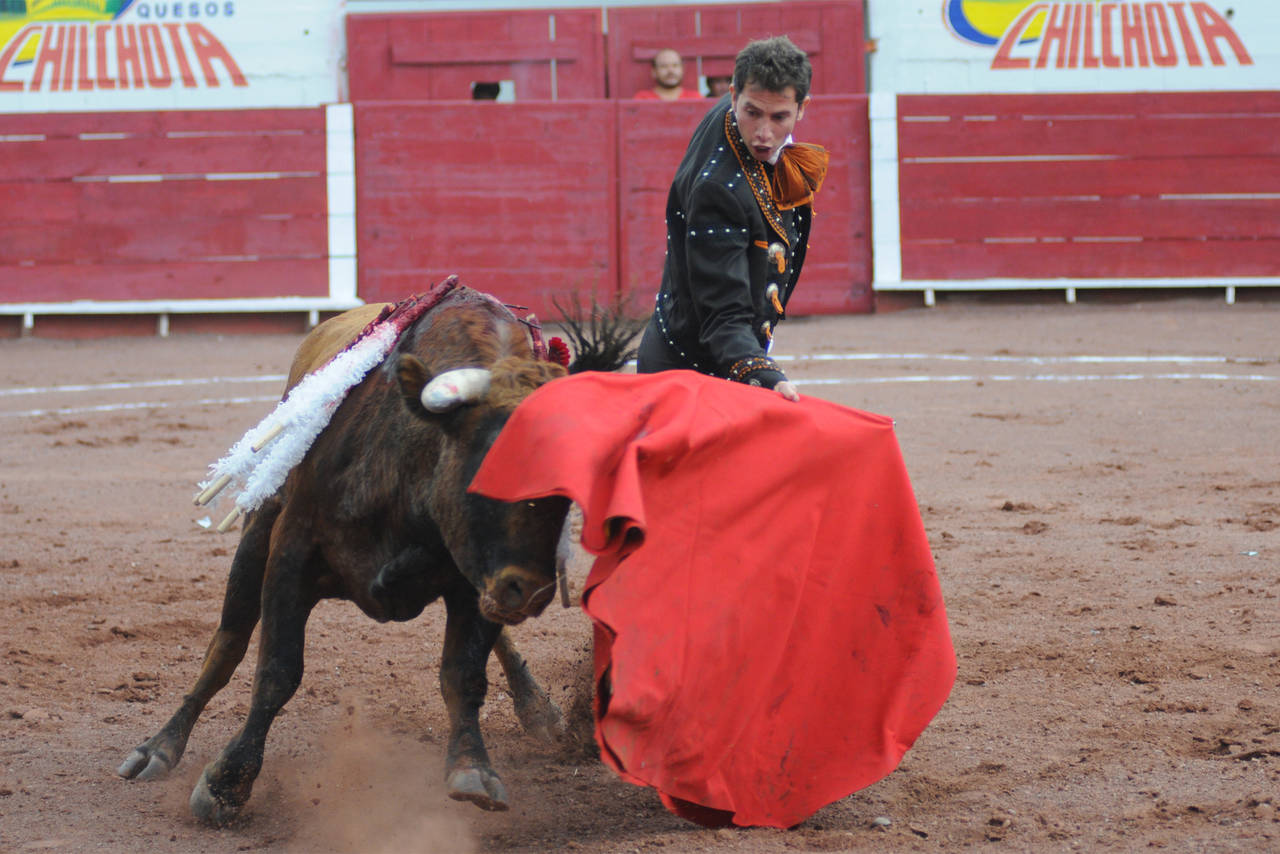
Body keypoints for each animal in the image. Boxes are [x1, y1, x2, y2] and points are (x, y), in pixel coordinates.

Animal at [115, 284, 593, 824]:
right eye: (490, 467)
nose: (530, 591)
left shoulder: (477, 578)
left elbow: (464, 674)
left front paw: (473, 769)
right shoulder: (291, 553)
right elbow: (277, 670)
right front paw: (226, 784)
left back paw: (539, 710)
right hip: (256, 537)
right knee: (227, 644)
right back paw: (158, 748)